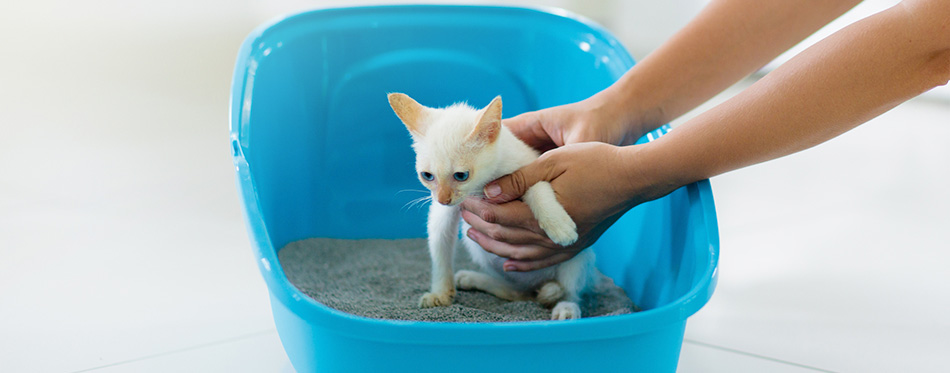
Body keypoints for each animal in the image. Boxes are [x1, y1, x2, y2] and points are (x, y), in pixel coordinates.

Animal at [386, 93, 604, 320]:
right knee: (515, 292)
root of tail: (535, 287)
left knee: (570, 291)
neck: (481, 185)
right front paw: (440, 292)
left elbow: (536, 186)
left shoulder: (531, 167)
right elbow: (440, 247)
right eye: (427, 176)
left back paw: (566, 307)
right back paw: (473, 279)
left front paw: (557, 224)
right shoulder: (443, 214)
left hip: (579, 257)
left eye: (461, 175)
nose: (443, 199)